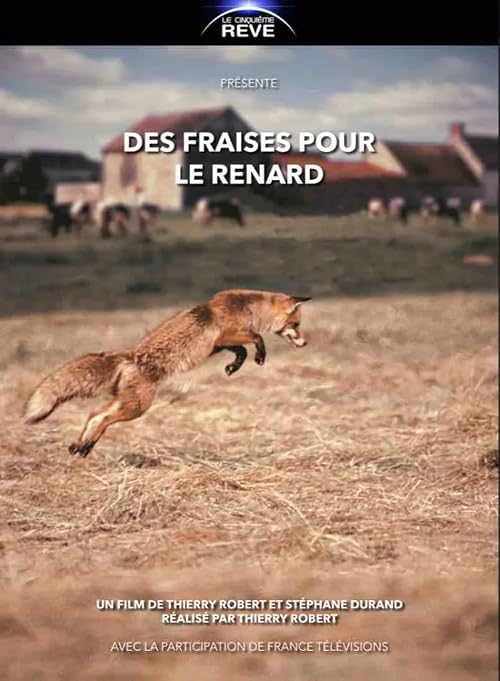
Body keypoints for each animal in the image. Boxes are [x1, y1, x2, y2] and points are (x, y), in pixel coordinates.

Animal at [24, 289, 311, 458]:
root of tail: (129, 356)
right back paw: (85, 445)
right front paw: (260, 356)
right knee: (103, 419)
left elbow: (240, 350)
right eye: (296, 324)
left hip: (126, 402)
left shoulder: (220, 344)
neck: (249, 308)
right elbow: (256, 338)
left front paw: (234, 366)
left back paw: (82, 445)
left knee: (94, 414)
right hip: (138, 407)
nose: (305, 343)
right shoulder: (227, 335)